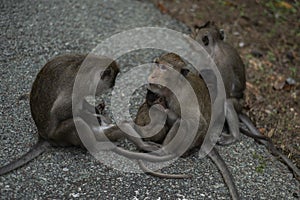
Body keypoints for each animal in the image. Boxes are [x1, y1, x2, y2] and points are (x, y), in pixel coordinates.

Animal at [0, 54, 173, 176]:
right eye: (112, 81)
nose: (114, 86)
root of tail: (43, 136)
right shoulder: (78, 87)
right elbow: (63, 111)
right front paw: (95, 113)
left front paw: (98, 110)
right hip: (60, 135)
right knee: (78, 122)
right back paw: (98, 144)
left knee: (122, 126)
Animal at [193, 21, 298, 179]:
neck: (215, 49)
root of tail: (241, 107)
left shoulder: (219, 67)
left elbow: (219, 95)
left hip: (236, 103)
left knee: (227, 102)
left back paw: (234, 136)